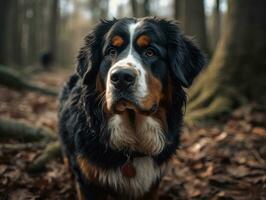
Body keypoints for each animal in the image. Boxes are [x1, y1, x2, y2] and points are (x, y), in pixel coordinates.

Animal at [59, 17, 206, 200]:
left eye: (150, 52)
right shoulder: (88, 181)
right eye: (111, 51)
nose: (121, 77)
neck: (132, 147)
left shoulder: (152, 184)